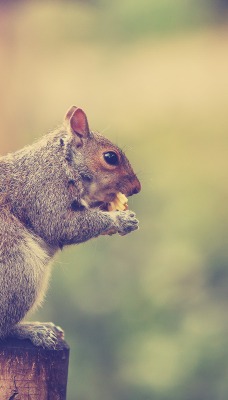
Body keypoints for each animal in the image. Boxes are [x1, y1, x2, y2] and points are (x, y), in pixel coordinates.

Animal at [0, 105, 141, 346]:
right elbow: (61, 225)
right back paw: (33, 329)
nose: (137, 187)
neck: (61, 161)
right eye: (110, 157)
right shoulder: (44, 191)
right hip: (18, 270)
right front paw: (121, 220)